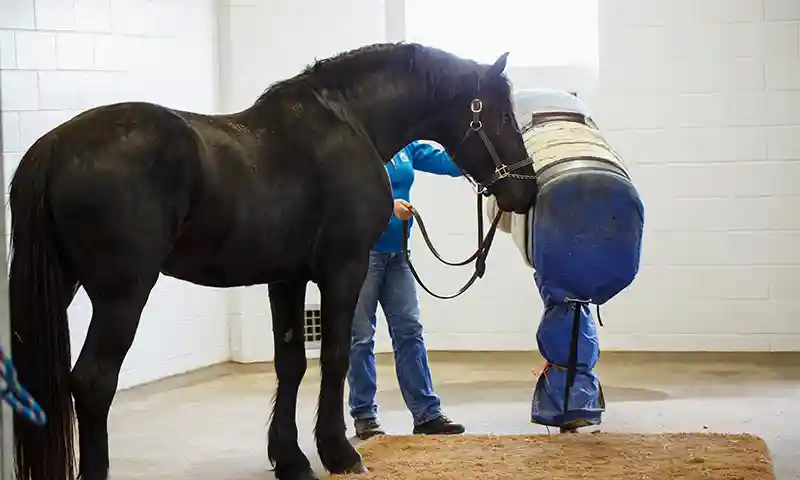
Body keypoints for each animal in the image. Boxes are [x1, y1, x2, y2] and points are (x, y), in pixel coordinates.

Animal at [8, 42, 538, 480]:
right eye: (502, 117)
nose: (526, 190)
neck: (351, 122)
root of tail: (55, 145)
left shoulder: (286, 278)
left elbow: (291, 364)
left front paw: (291, 460)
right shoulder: (342, 270)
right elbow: (336, 355)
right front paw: (339, 453)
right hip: (123, 295)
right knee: (94, 382)